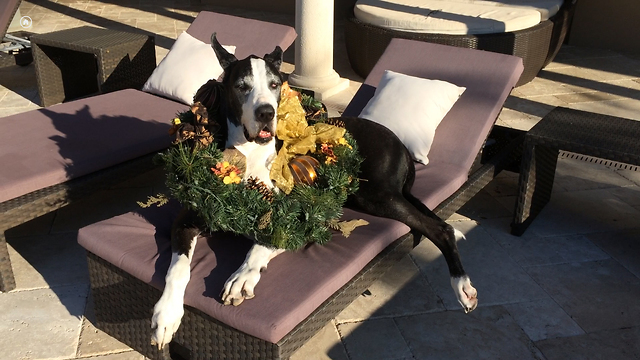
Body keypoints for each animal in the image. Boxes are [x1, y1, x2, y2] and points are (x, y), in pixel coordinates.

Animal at [151, 33, 476, 348]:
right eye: (241, 86)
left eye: (274, 85)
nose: (266, 112)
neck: (249, 154)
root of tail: (400, 143)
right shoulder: (187, 217)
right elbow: (177, 268)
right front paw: (166, 315)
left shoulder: (297, 219)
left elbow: (261, 245)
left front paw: (242, 276)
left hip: (377, 196)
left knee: (440, 228)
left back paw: (462, 286)